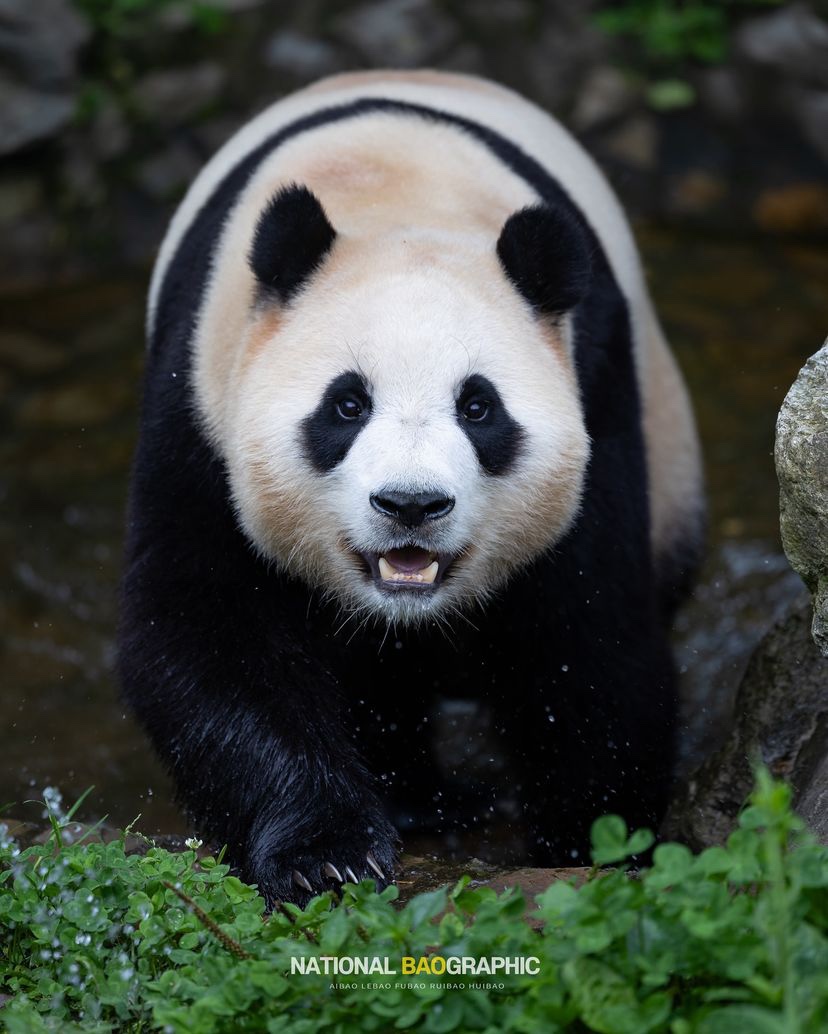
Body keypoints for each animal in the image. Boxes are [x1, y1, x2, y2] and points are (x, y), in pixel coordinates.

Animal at [120, 68, 702, 905]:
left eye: (479, 407)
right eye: (347, 404)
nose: (411, 504)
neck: (394, 194)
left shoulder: (597, 383)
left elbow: (589, 630)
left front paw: (594, 840)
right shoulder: (199, 399)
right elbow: (205, 627)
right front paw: (327, 853)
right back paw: (423, 801)